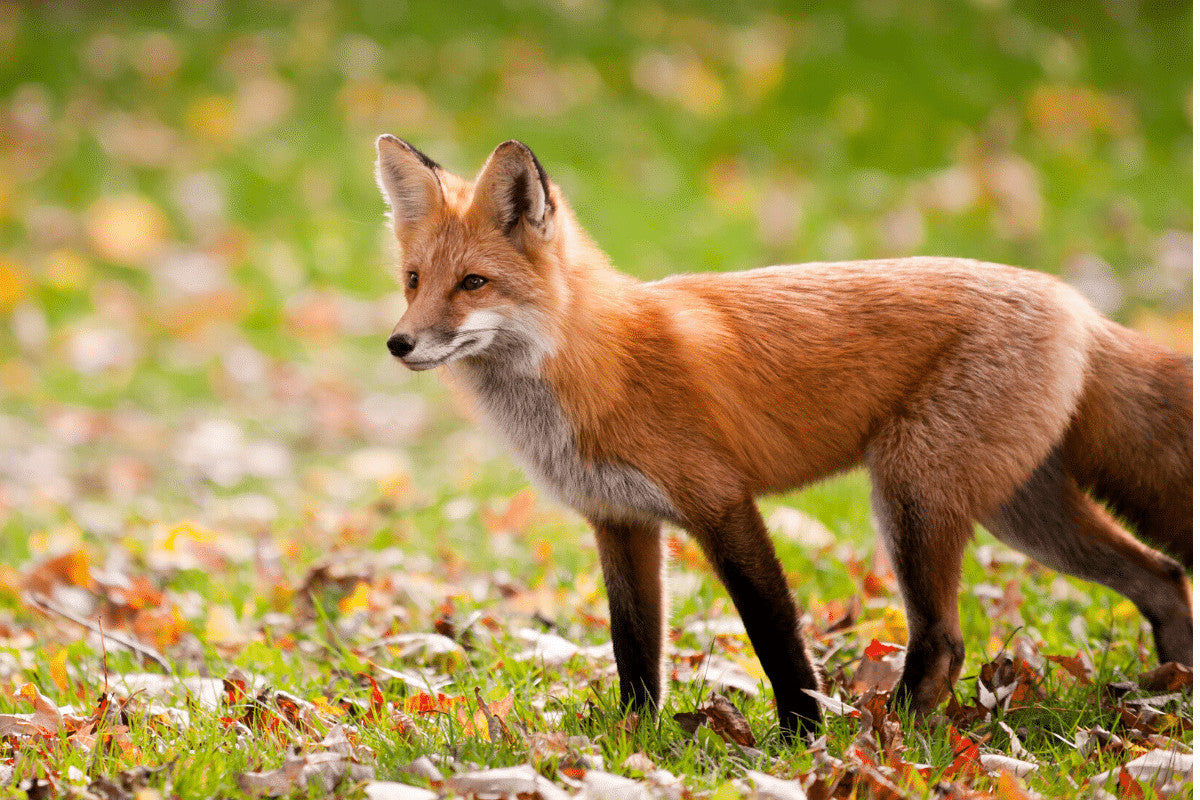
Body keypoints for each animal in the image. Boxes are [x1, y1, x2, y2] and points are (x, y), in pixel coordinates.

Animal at [374, 135, 1193, 737]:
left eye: (473, 283)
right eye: (413, 280)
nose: (399, 344)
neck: (596, 363)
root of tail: (1076, 302)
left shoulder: (721, 503)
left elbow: (774, 634)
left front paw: (802, 736)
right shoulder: (620, 521)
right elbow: (635, 650)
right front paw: (633, 739)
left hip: (914, 495)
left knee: (943, 641)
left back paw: (883, 736)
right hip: (1019, 512)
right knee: (1160, 573)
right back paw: (1171, 690)